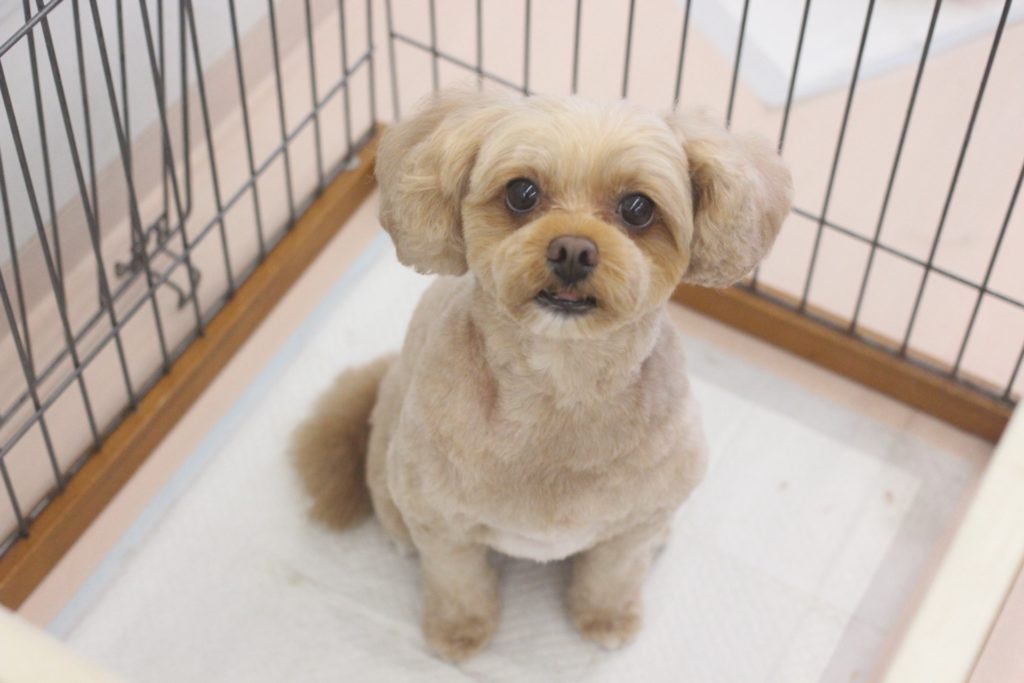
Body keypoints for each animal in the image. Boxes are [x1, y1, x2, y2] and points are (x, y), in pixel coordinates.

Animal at [291, 88, 791, 662]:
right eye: (522, 193)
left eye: (638, 208)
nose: (572, 249)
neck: (561, 384)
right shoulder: (441, 522)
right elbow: (456, 581)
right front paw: (459, 631)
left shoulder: (634, 525)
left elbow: (614, 573)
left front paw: (606, 618)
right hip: (391, 469)